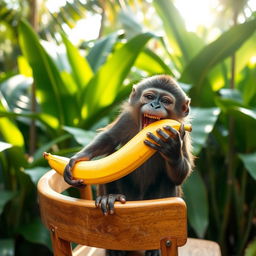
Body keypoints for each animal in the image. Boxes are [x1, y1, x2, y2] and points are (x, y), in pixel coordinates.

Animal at [63, 75, 193, 256]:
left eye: (166, 101)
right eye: (150, 97)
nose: (155, 105)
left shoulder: (181, 132)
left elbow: (181, 174)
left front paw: (172, 148)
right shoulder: (127, 119)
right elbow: (109, 139)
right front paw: (78, 157)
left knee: (168, 180)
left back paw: (153, 248)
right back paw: (110, 199)